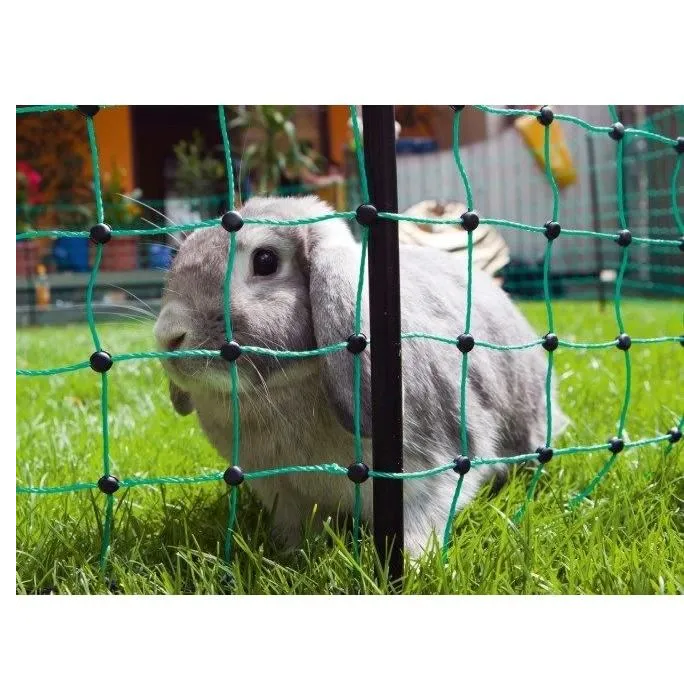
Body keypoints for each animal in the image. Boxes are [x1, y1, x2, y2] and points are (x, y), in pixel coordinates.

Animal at [154, 195, 569, 557]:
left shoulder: (428, 477)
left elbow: (421, 524)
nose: (169, 336)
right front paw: (288, 557)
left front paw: (414, 566)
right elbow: (294, 531)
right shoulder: (284, 493)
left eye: (266, 261)